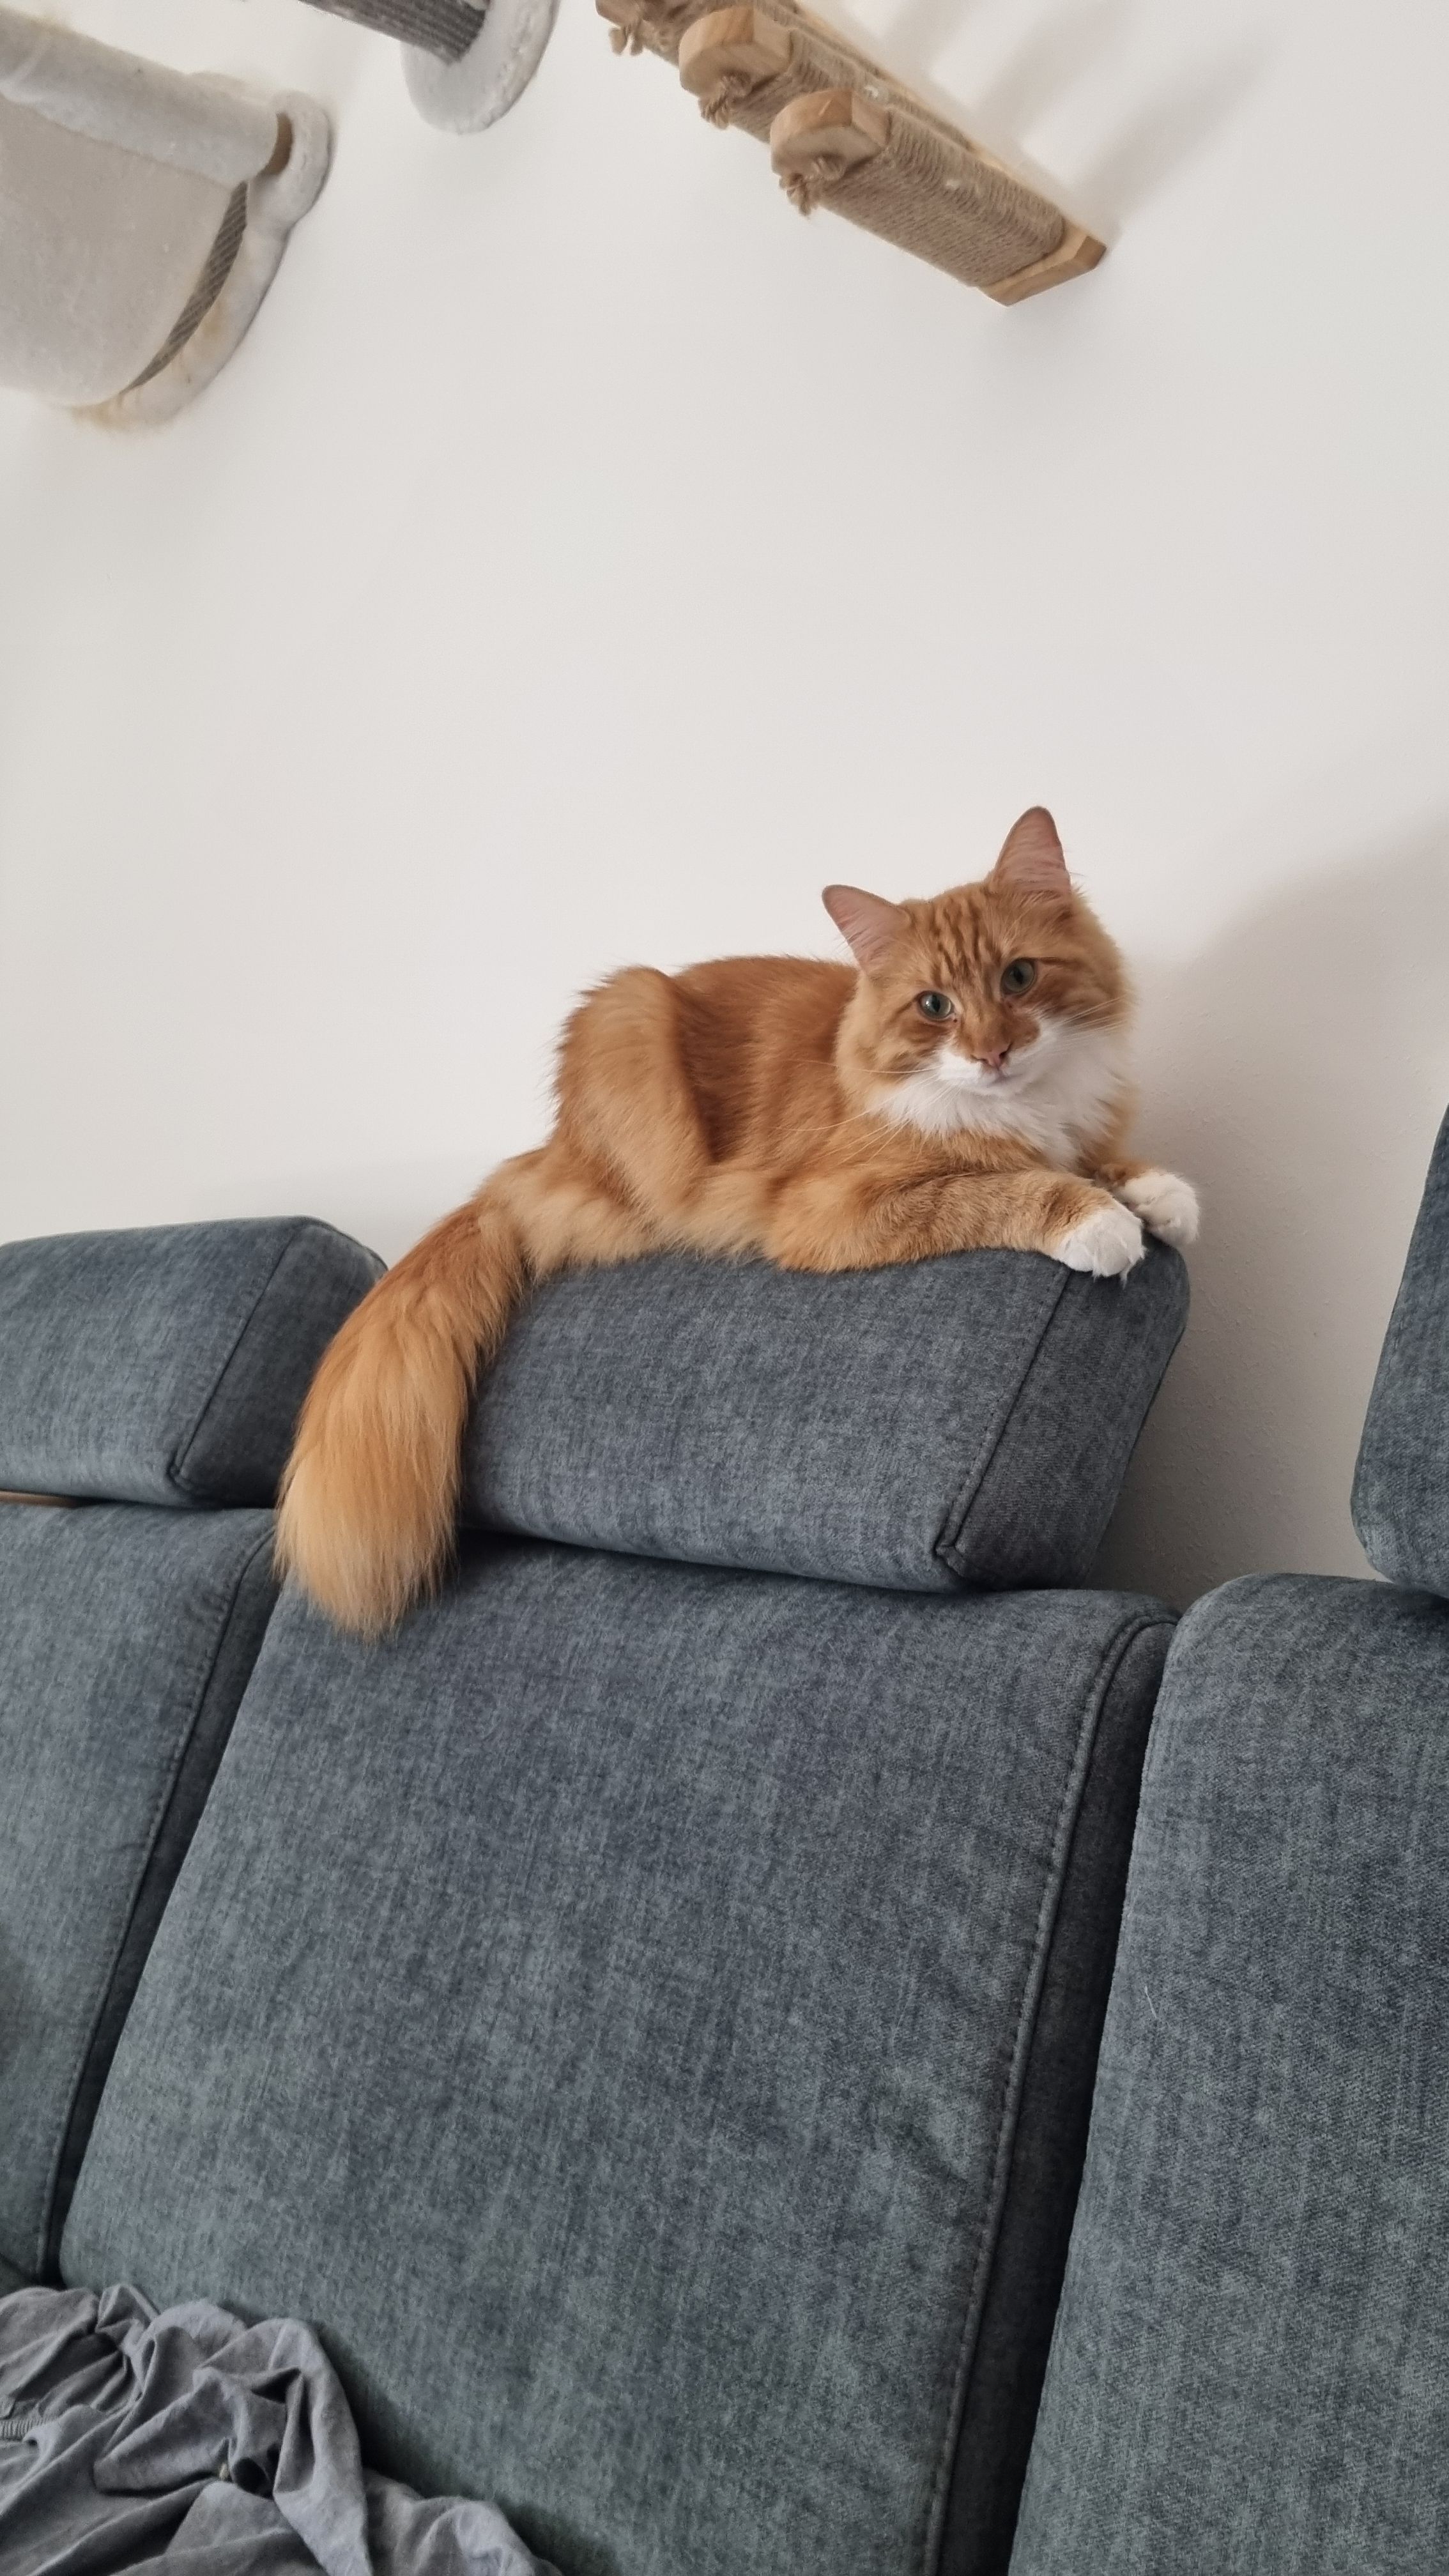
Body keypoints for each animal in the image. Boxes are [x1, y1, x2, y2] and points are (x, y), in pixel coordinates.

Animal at [276, 807, 1197, 1637]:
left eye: (1018, 978)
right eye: (934, 1006)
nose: (992, 1054)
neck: (1023, 1108)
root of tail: (544, 1156)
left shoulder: (1070, 1130)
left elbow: (1095, 1159)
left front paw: (1159, 1194)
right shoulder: (836, 1206)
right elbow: (1003, 1187)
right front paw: (1098, 1222)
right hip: (631, 1015)